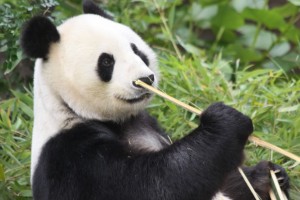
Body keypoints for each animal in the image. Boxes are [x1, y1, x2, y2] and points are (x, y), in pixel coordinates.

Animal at [19, 0, 290, 200]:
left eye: (136, 50)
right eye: (106, 61)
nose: (146, 78)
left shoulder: (150, 125)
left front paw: (268, 177)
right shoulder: (72, 156)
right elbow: (152, 184)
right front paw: (225, 122)